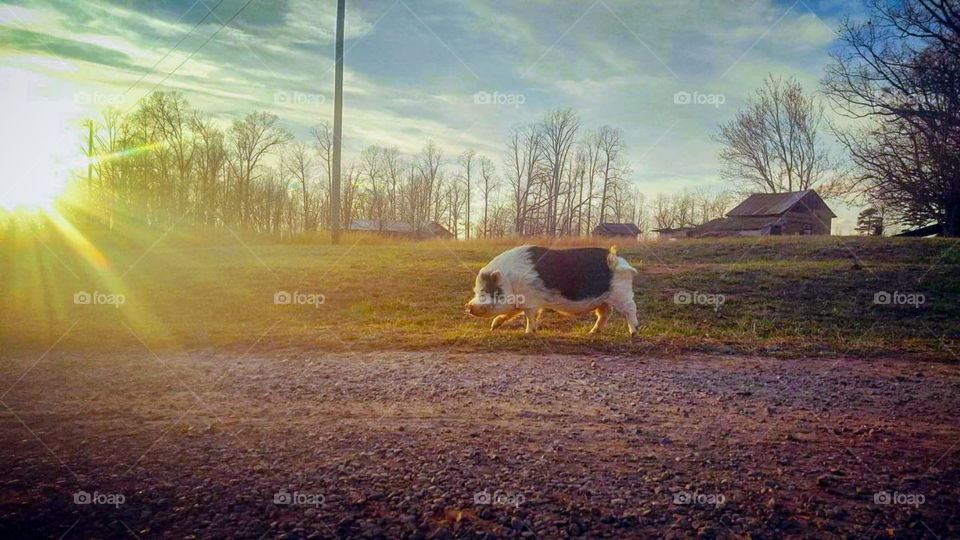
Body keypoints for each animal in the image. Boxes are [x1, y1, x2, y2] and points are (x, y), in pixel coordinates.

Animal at [465, 245, 639, 336]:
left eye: (485, 291)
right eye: (476, 290)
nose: (468, 306)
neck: (510, 281)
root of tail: (619, 261)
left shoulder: (531, 302)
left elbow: (530, 317)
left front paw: (528, 333)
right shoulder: (521, 302)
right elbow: (510, 313)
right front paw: (493, 327)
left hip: (621, 293)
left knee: (630, 309)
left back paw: (633, 332)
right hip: (603, 300)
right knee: (605, 313)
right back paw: (592, 332)